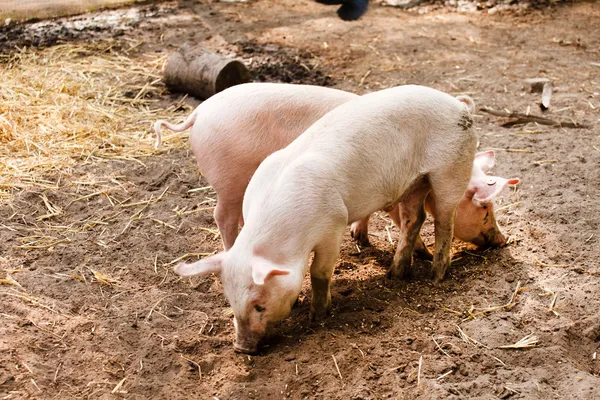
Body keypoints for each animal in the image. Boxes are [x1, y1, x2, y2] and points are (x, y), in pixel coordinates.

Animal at [172, 85, 478, 354]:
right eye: (231, 301)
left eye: (259, 304)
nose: (241, 348)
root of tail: (459, 104)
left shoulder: (333, 225)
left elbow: (318, 272)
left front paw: (316, 316)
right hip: (414, 183)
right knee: (414, 218)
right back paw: (395, 274)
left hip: (450, 171)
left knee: (444, 221)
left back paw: (436, 275)